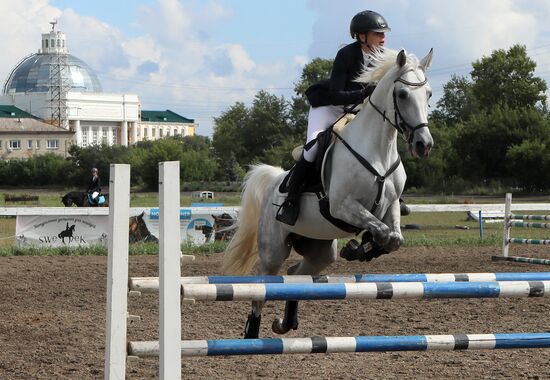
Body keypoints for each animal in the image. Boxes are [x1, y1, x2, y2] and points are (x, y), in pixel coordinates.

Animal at [222, 48, 434, 338]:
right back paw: (252, 333)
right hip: (273, 251)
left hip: (320, 250)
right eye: (402, 94)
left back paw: (285, 323)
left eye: (429, 95)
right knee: (262, 288)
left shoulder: (390, 206)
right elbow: (381, 231)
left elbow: (394, 238)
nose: (424, 144)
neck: (379, 151)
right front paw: (358, 248)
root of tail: (275, 180)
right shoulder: (342, 206)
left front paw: (361, 248)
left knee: (296, 274)